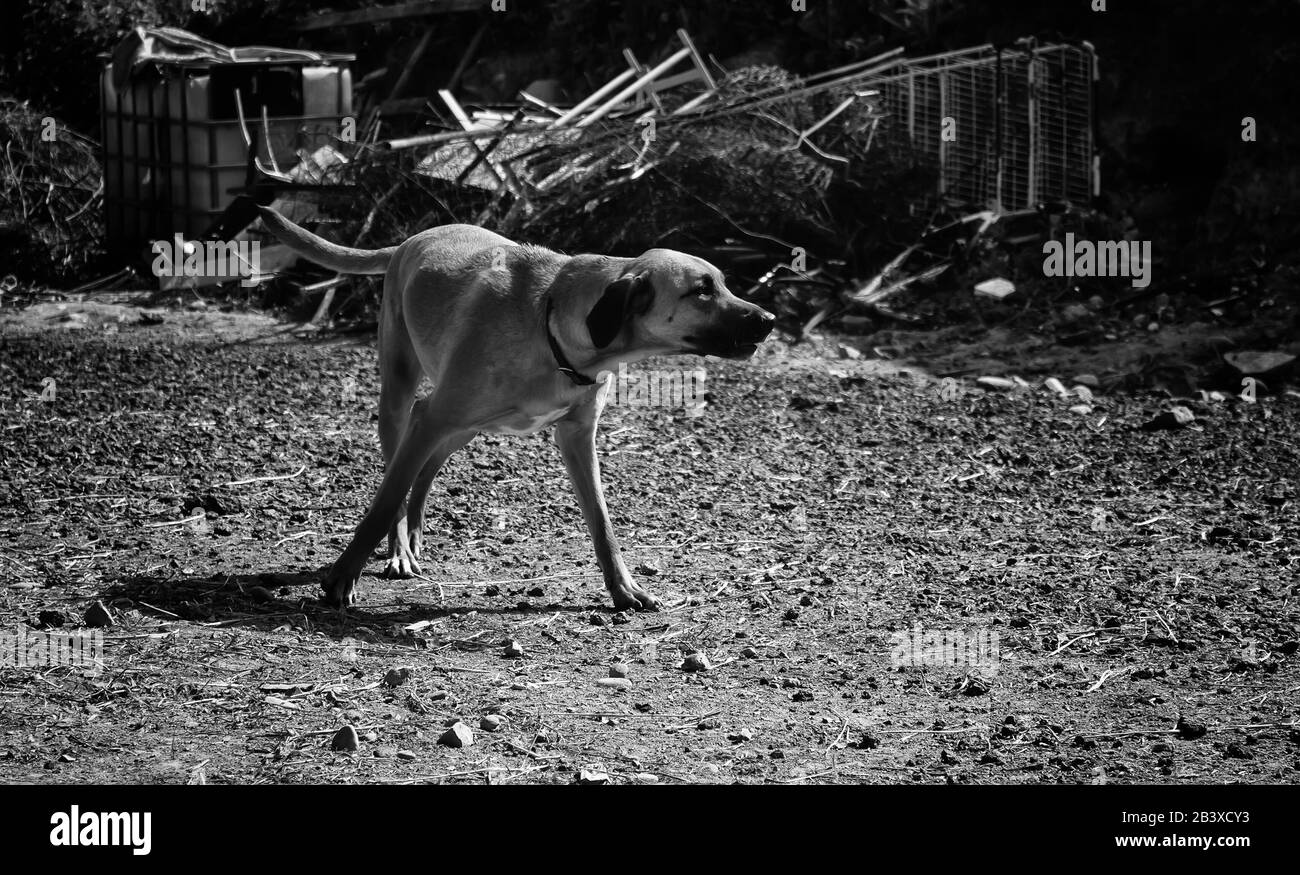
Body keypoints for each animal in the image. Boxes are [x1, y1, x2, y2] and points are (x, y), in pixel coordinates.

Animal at [258, 208, 774, 611]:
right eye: (701, 289)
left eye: (722, 283)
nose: (770, 320)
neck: (556, 326)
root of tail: (411, 239)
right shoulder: (434, 417)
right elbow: (384, 503)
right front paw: (343, 576)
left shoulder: (577, 437)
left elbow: (602, 523)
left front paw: (623, 589)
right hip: (405, 400)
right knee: (398, 475)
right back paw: (400, 547)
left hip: (461, 428)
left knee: (424, 471)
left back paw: (416, 532)